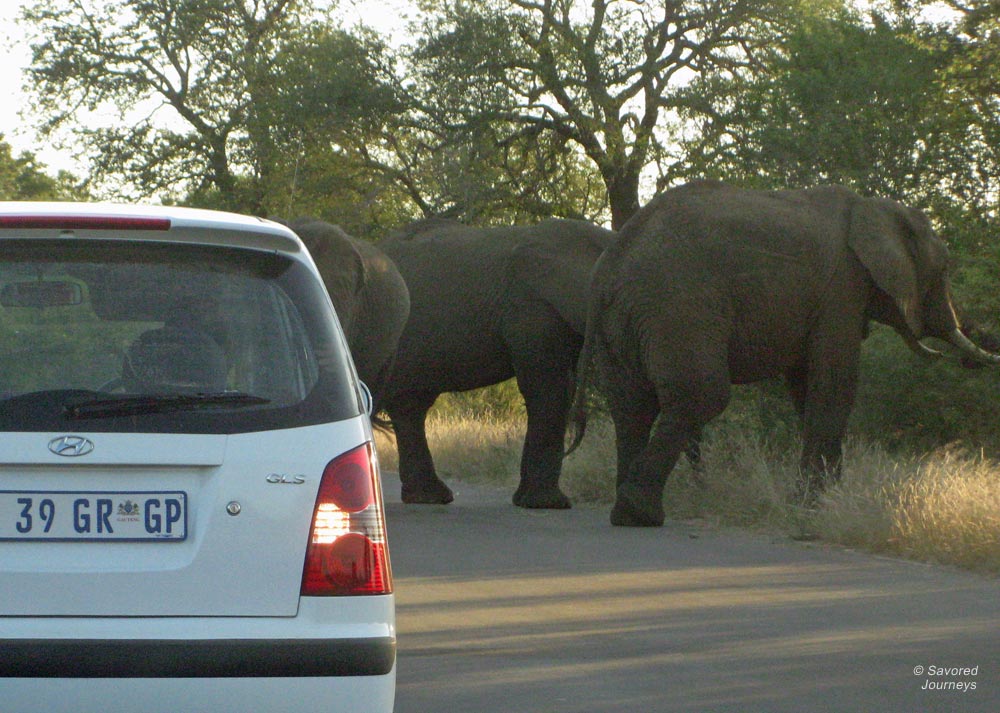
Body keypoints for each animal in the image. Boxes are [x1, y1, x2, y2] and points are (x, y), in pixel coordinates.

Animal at [378, 217, 616, 509]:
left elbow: (560, 388)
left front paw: (529, 501)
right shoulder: (530, 307)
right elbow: (549, 388)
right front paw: (547, 504)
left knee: (411, 405)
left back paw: (430, 497)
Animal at [570, 180, 1000, 527]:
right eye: (944, 270)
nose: (965, 360)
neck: (875, 208)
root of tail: (607, 266)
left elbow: (805, 386)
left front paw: (827, 497)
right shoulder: (842, 288)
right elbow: (833, 383)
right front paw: (813, 504)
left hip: (622, 319)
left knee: (632, 407)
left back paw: (627, 512)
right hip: (676, 306)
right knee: (701, 396)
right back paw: (639, 513)